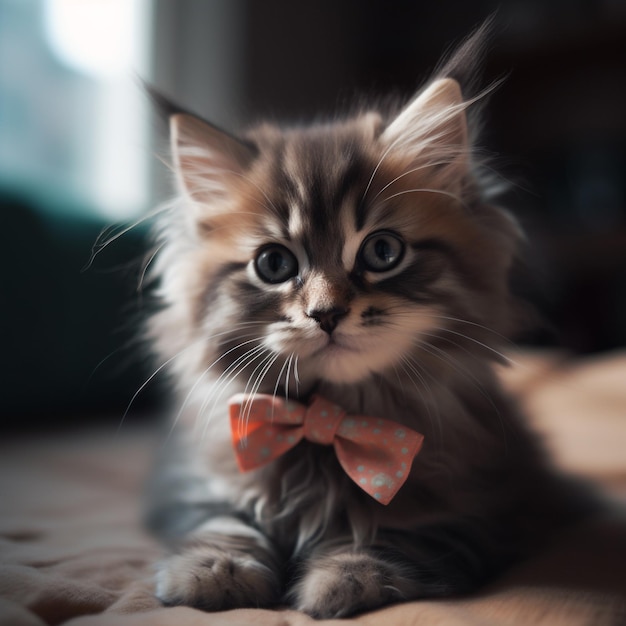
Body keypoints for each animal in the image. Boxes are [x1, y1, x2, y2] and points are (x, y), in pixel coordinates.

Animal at [144, 25, 592, 620]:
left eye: (383, 251)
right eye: (274, 264)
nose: (326, 313)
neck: (329, 420)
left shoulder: (489, 506)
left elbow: (395, 532)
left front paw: (346, 578)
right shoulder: (193, 482)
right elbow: (224, 521)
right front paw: (214, 570)